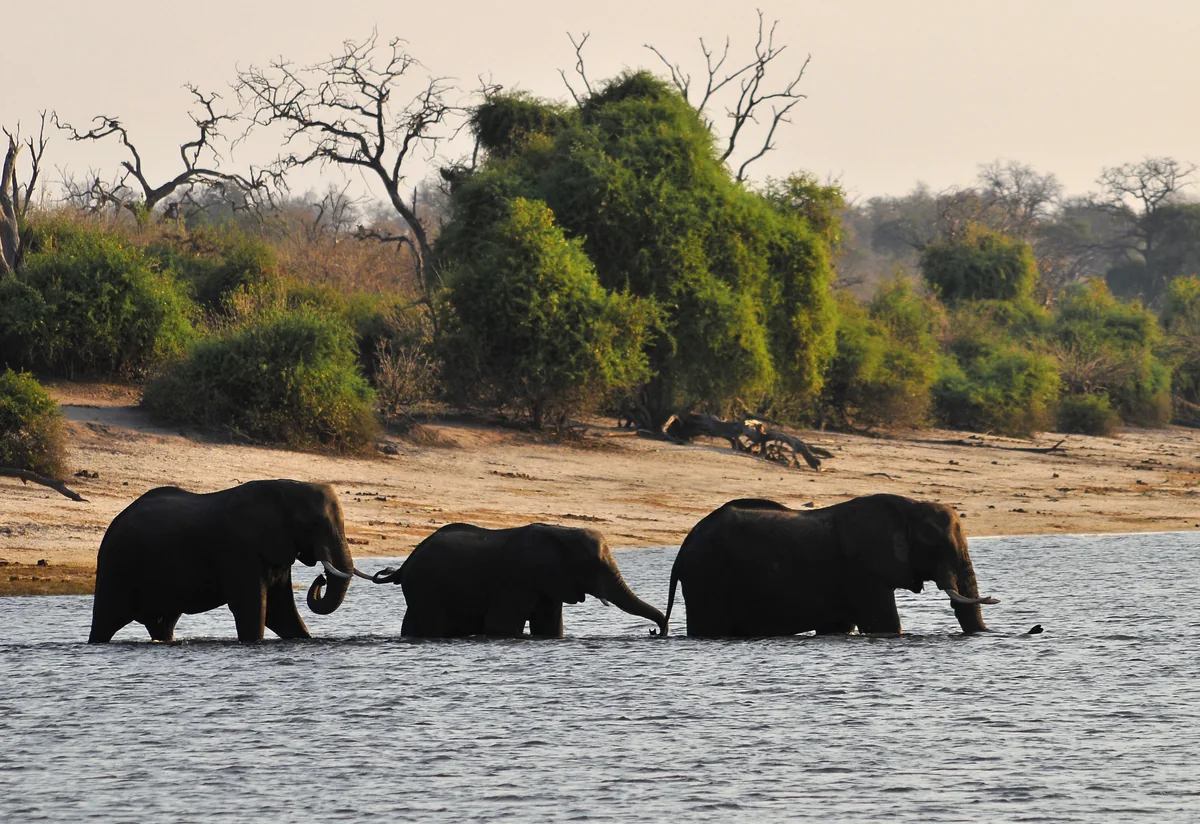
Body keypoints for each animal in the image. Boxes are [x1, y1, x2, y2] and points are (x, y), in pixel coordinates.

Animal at [89, 480, 371, 643]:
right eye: (312, 525)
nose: (321, 578)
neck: (284, 488)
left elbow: (281, 612)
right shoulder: (240, 549)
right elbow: (254, 608)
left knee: (162, 625)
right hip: (117, 567)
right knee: (104, 623)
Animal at [371, 522, 668, 637]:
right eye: (595, 566)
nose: (654, 632)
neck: (562, 532)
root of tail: (405, 563)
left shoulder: (551, 583)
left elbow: (549, 627)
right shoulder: (517, 580)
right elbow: (500, 626)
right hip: (426, 586)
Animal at [662, 495, 998, 637]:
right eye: (939, 548)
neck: (910, 507)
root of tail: (684, 546)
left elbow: (838, 626)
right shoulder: (863, 570)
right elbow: (885, 624)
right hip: (708, 577)